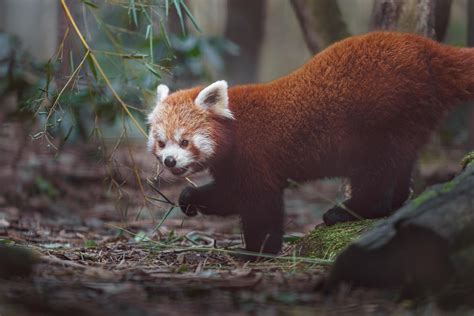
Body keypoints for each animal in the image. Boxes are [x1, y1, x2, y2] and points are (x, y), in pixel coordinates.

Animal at [148, 31, 474, 254]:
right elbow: (229, 195)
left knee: (375, 172)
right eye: (162, 143)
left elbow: (261, 205)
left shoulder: (255, 156)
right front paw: (189, 199)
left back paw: (350, 210)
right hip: (406, 120)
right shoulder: (233, 165)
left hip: (380, 119)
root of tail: (427, 48)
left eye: (185, 141)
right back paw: (393, 202)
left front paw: (258, 251)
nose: (170, 161)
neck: (234, 128)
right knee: (399, 164)